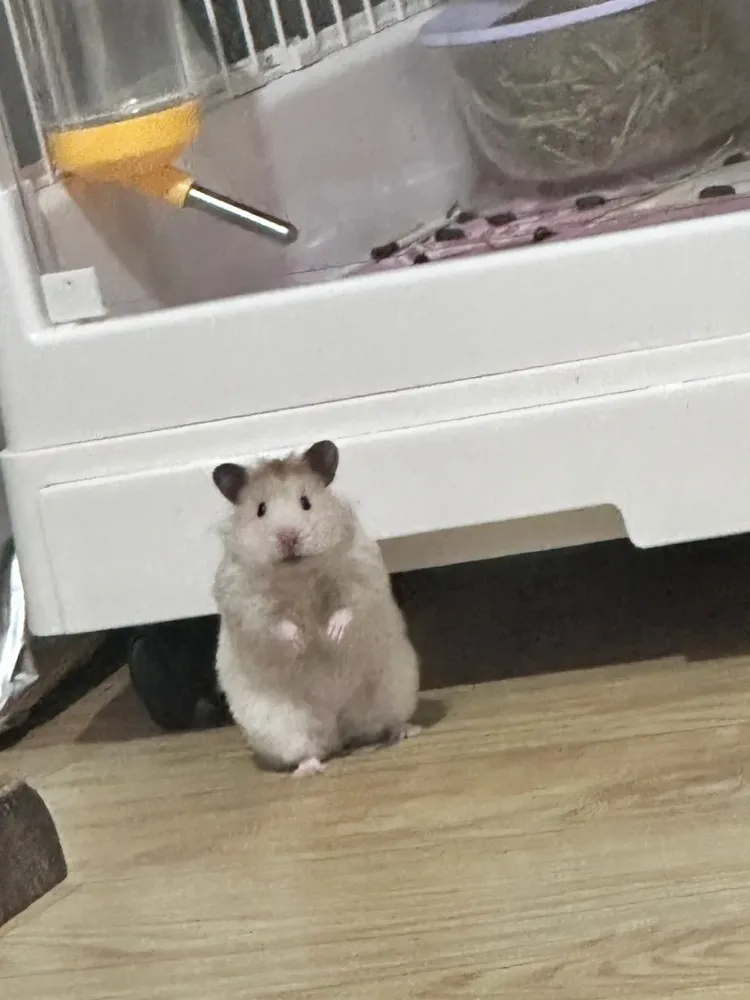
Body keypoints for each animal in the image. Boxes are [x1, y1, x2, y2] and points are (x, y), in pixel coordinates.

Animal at [212, 439, 420, 776]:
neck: (299, 575)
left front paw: (329, 634)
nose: (288, 537)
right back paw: (310, 770)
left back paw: (402, 733)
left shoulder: (362, 571)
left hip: (393, 690)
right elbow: (274, 625)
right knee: (306, 750)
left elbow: (349, 606)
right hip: (281, 725)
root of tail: (339, 726)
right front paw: (302, 641)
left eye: (306, 502)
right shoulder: (243, 600)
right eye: (260, 510)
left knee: (384, 724)